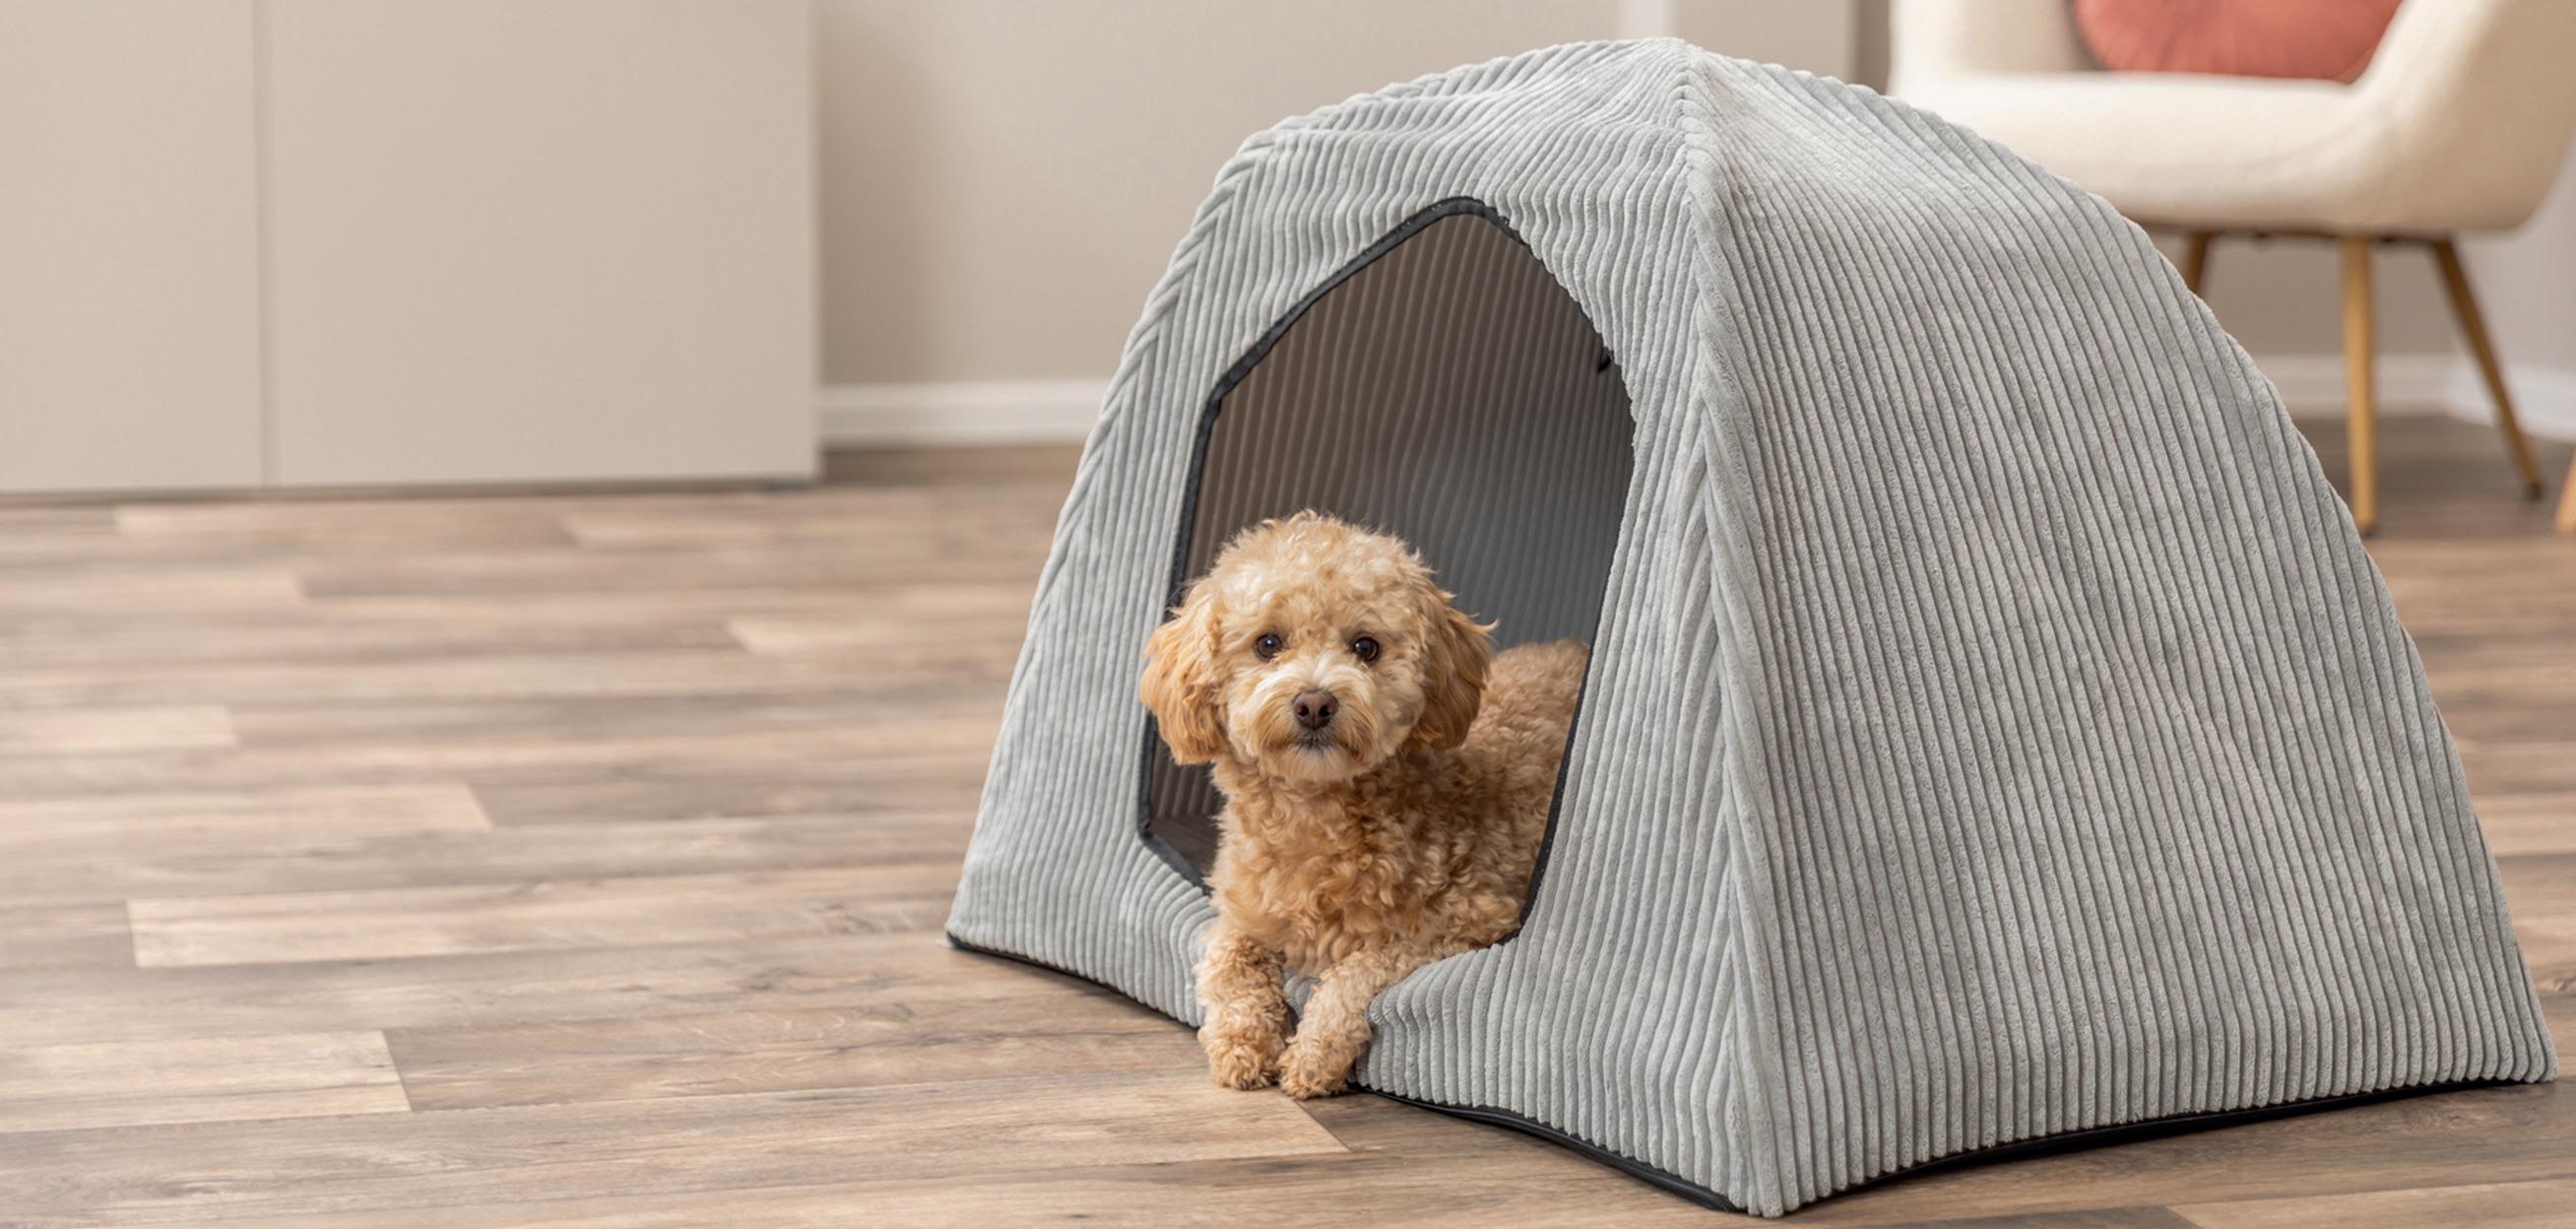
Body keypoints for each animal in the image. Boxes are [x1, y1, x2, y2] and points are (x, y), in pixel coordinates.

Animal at [1139, 511, 1587, 1099]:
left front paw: (1311, 1057)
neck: (1314, 814)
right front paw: (1242, 1044)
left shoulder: (1467, 920)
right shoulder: (1240, 914)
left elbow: (1356, 969)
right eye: (1267, 642)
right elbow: (1227, 964)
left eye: (1366, 647)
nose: (1314, 703)